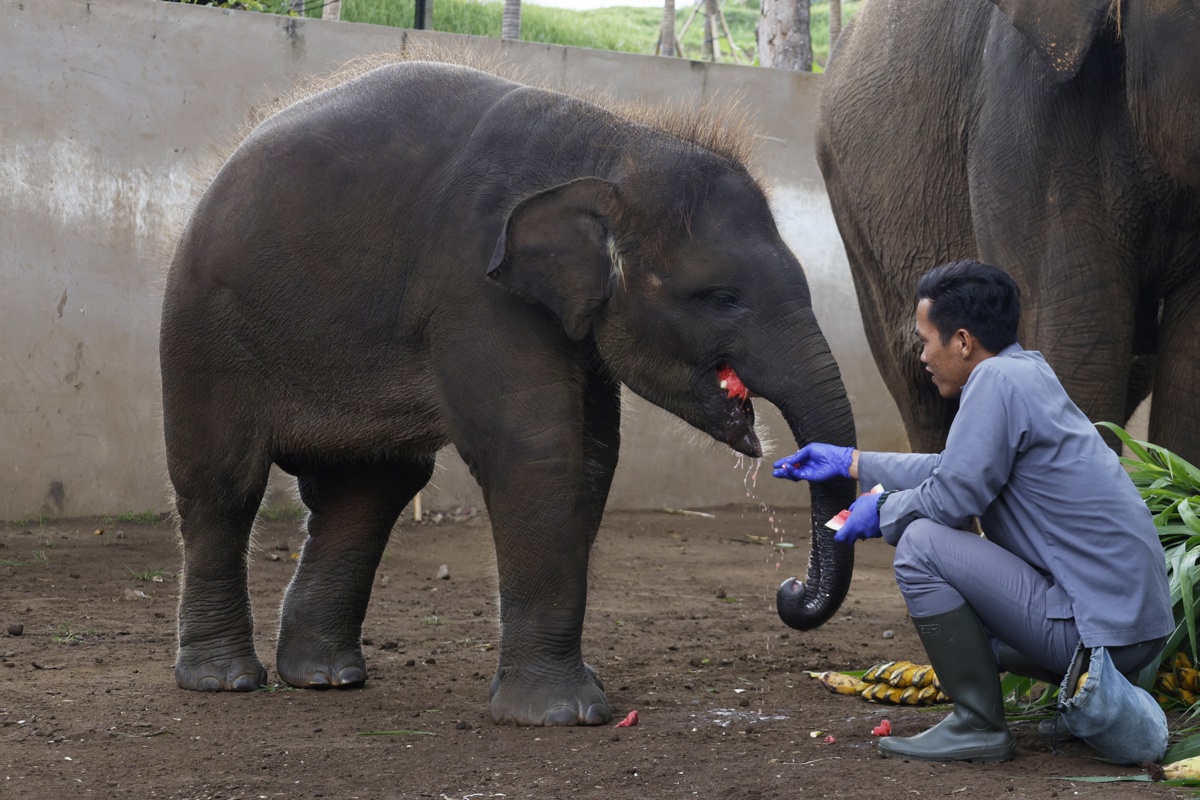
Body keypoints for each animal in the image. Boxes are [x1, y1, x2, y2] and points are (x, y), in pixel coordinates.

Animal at [159, 60, 857, 726]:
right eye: (723, 298)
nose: (788, 592)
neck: (612, 144)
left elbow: (593, 456)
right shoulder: (475, 288)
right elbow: (536, 451)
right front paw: (562, 715)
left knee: (369, 490)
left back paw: (326, 677)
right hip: (202, 333)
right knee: (224, 484)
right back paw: (224, 681)